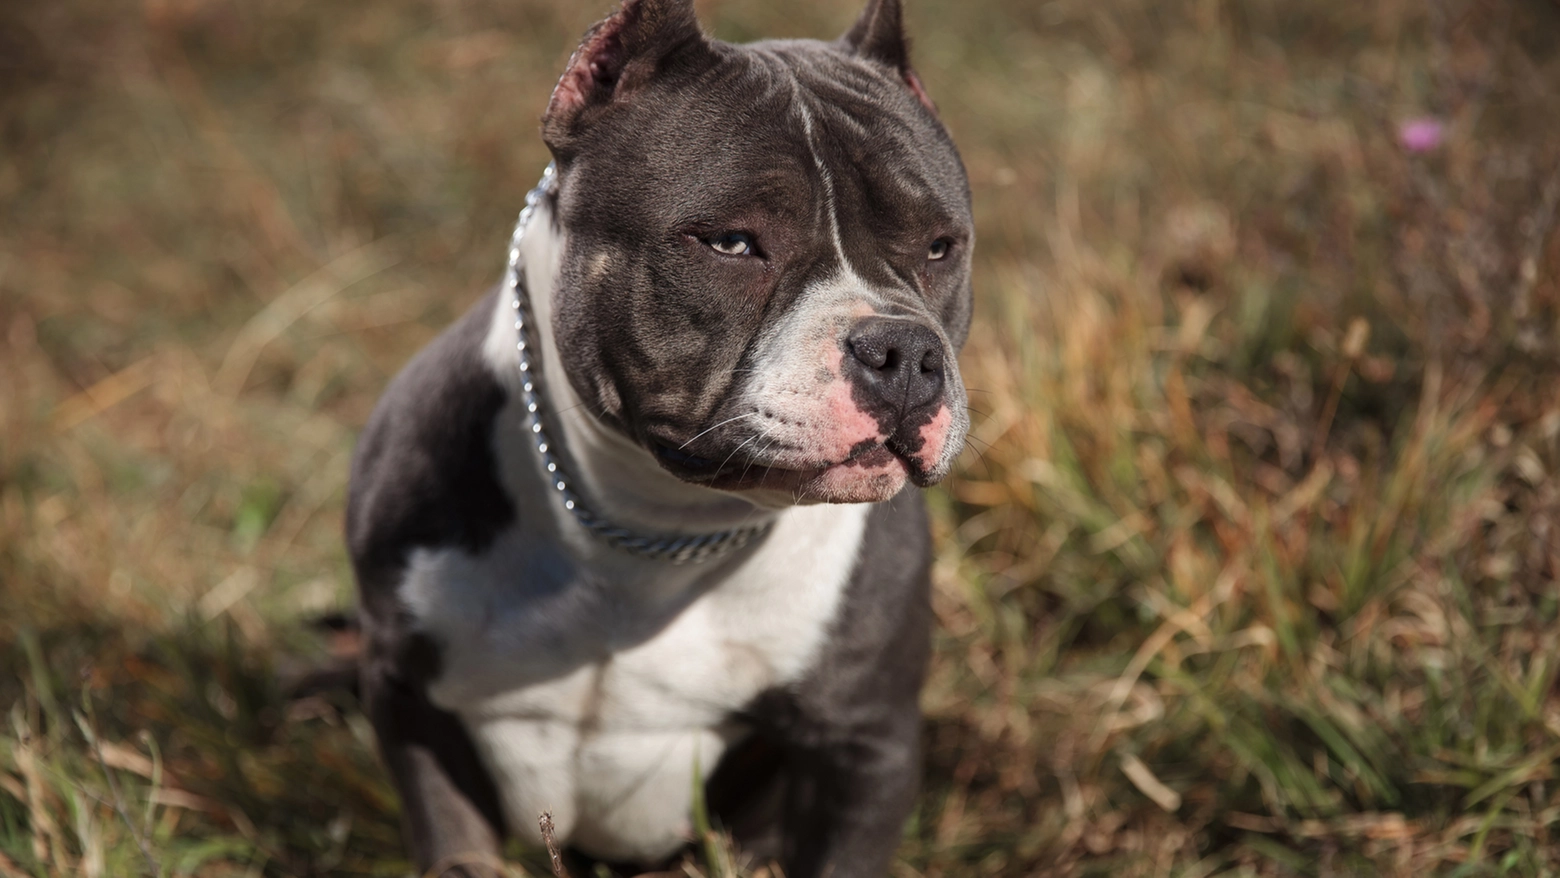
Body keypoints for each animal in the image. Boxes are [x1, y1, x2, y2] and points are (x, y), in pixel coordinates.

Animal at [346, 3, 967, 873]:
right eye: (732, 243)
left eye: (941, 246)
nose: (904, 353)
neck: (653, 524)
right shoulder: (406, 689)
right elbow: (454, 836)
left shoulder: (864, 739)